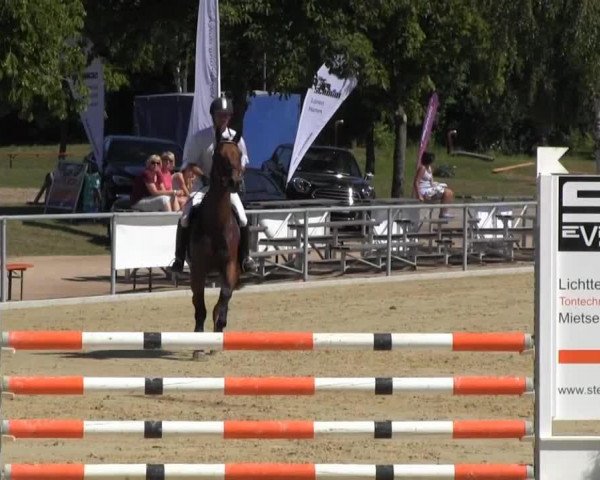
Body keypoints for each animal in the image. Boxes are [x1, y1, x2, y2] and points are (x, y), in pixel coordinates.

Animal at [188, 133, 244, 346]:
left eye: (240, 154)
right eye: (219, 156)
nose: (235, 182)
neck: (217, 224)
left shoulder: (230, 265)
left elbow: (225, 295)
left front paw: (218, 323)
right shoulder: (198, 268)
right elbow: (199, 304)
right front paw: (198, 344)